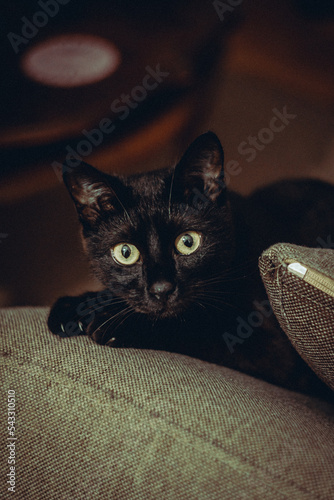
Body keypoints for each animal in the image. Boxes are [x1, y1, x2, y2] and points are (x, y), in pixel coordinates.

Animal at [48, 131, 334, 400]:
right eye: (125, 252)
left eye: (188, 242)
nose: (161, 289)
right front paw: (76, 306)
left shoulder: (273, 349)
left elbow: (193, 325)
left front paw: (119, 322)